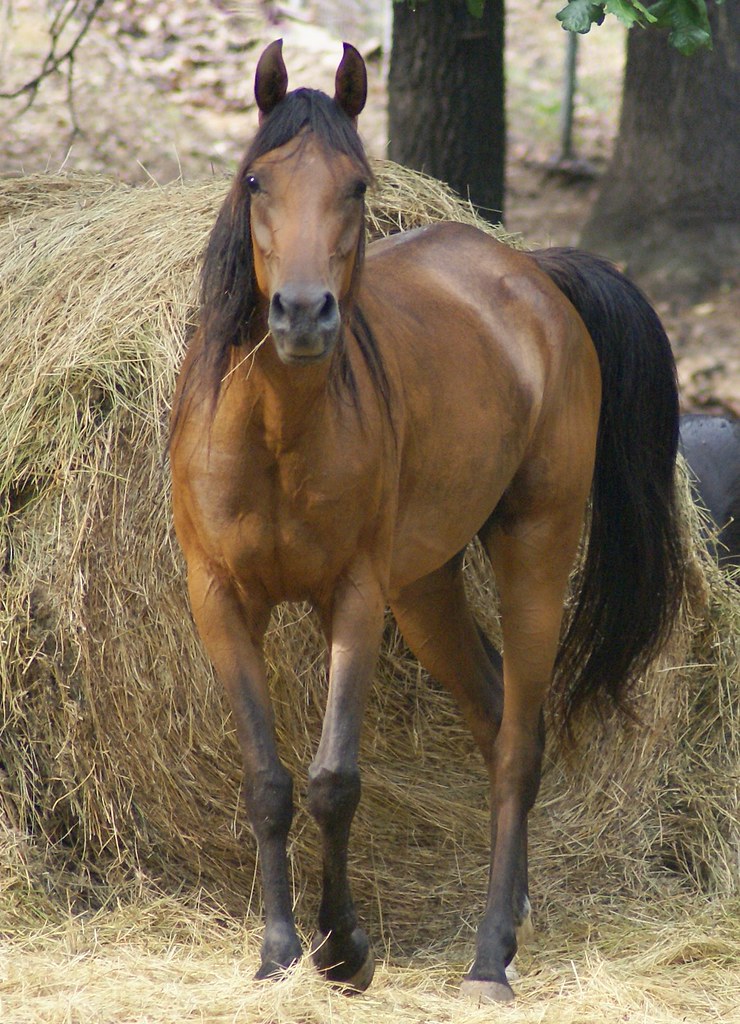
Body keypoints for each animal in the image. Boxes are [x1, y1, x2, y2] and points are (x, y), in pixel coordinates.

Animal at [166, 37, 683, 999]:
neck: (278, 430)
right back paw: (512, 918)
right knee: (491, 713)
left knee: (518, 739)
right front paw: (278, 952)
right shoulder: (219, 598)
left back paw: (489, 956)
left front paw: (344, 948)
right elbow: (267, 781)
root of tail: (533, 275)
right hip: (427, 587)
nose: (302, 313)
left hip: (531, 550)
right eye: (257, 181)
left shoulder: (355, 598)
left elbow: (334, 778)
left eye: (356, 185)